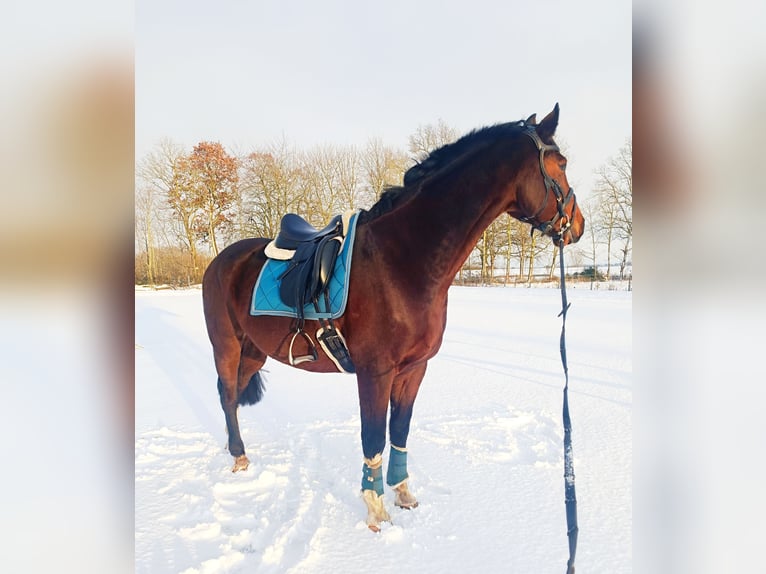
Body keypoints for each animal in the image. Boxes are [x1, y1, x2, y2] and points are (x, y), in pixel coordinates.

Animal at [202, 104, 584, 532]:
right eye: (561, 164)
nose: (578, 226)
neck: (403, 261)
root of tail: (220, 260)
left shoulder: (414, 369)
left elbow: (399, 431)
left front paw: (403, 493)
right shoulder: (375, 372)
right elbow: (373, 437)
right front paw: (375, 511)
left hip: (255, 350)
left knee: (234, 394)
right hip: (226, 345)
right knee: (227, 394)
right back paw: (238, 457)